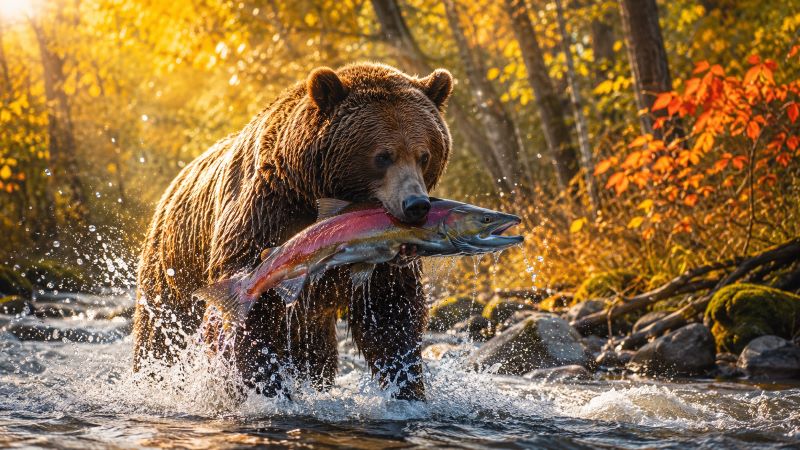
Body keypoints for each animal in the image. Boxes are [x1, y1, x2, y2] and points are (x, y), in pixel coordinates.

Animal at [132, 62, 453, 400]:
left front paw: (406, 388)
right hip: (175, 262)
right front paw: (264, 387)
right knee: (160, 331)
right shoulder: (266, 213)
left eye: (424, 155)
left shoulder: (378, 251)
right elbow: (254, 311)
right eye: (382, 156)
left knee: (315, 353)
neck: (311, 187)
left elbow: (391, 311)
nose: (416, 205)